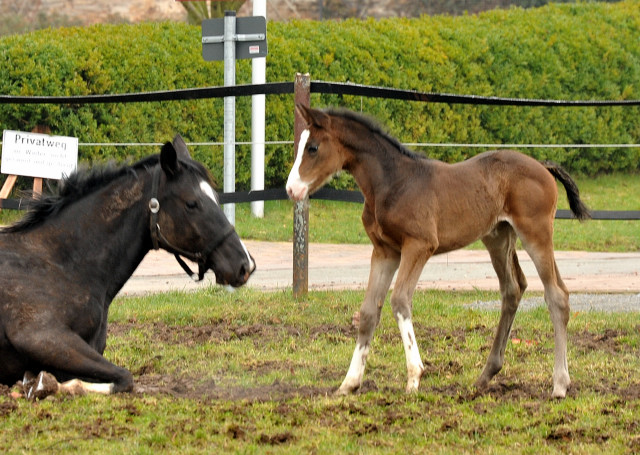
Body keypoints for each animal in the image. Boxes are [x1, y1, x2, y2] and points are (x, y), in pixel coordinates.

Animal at [0, 135, 255, 396]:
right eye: (192, 203)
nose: (244, 265)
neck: (63, 264)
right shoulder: (40, 336)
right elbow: (124, 377)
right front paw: (39, 385)